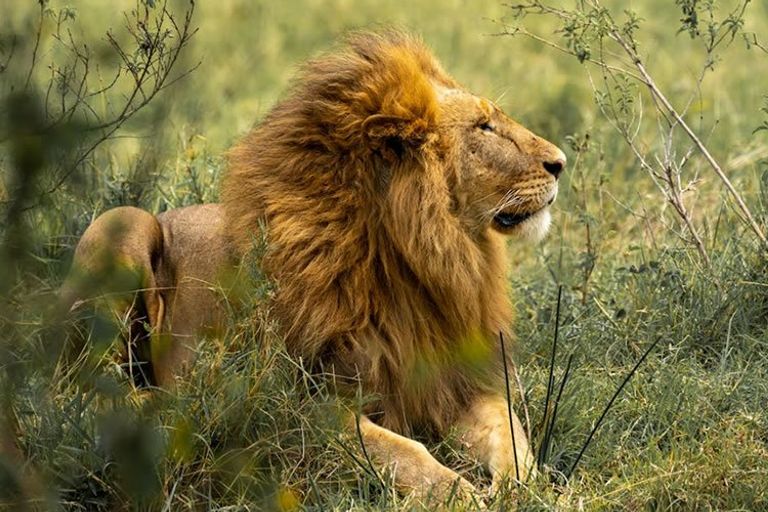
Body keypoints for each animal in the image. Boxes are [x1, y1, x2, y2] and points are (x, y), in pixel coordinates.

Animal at [62, 31, 566, 503]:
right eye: (485, 127)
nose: (560, 163)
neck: (420, 261)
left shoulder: (458, 382)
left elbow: (511, 434)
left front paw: (524, 487)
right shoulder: (297, 403)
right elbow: (400, 449)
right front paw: (457, 492)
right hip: (123, 223)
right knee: (82, 389)